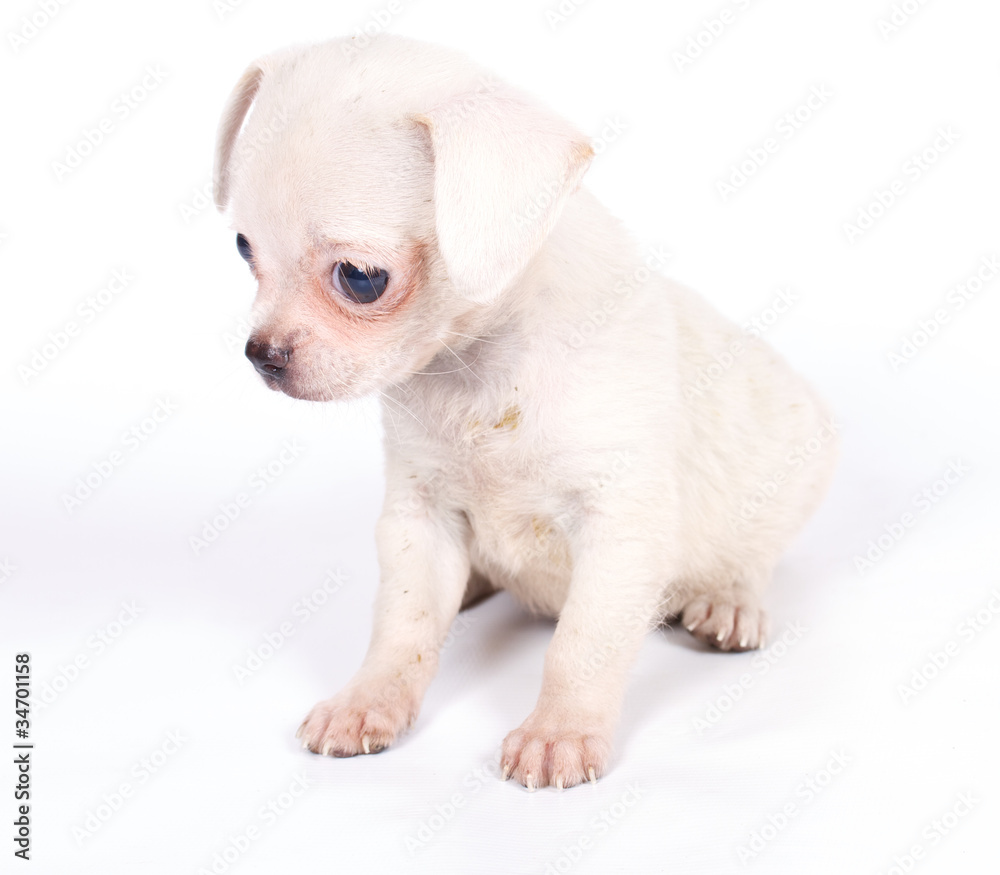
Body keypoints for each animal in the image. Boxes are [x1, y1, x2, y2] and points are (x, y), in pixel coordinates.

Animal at [215, 36, 840, 792]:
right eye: (244, 250)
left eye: (360, 279)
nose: (260, 354)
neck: (480, 374)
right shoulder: (419, 517)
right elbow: (402, 626)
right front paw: (368, 700)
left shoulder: (618, 527)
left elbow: (581, 644)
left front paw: (558, 731)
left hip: (791, 466)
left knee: (754, 555)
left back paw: (728, 601)